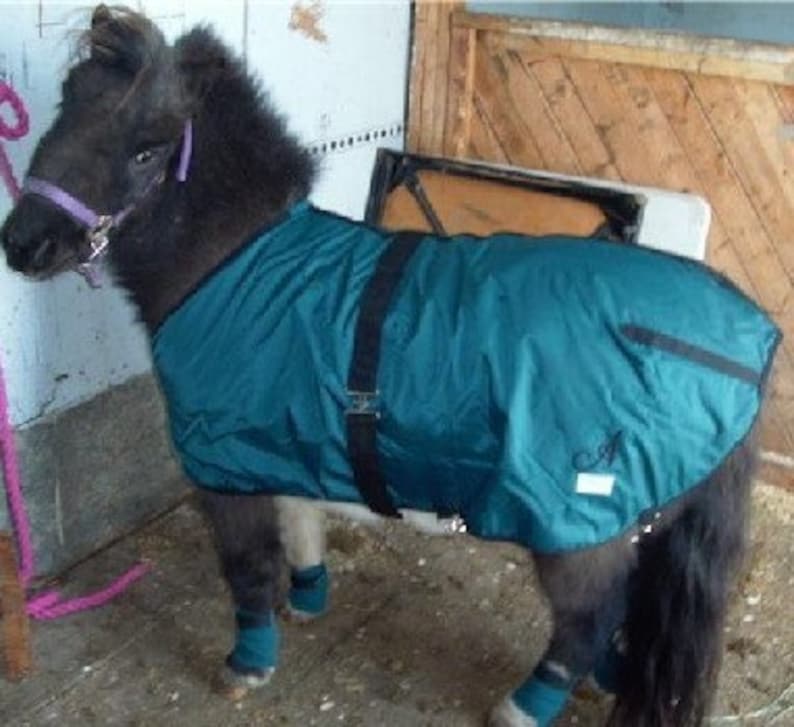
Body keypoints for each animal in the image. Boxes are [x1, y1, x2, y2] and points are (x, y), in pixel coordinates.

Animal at [0, 6, 780, 726]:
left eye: (146, 152)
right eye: (65, 105)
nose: (22, 243)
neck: (241, 268)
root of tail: (746, 342)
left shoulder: (222, 467)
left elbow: (247, 567)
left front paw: (249, 661)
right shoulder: (283, 439)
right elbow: (300, 520)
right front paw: (308, 594)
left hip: (578, 526)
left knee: (587, 616)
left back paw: (525, 703)